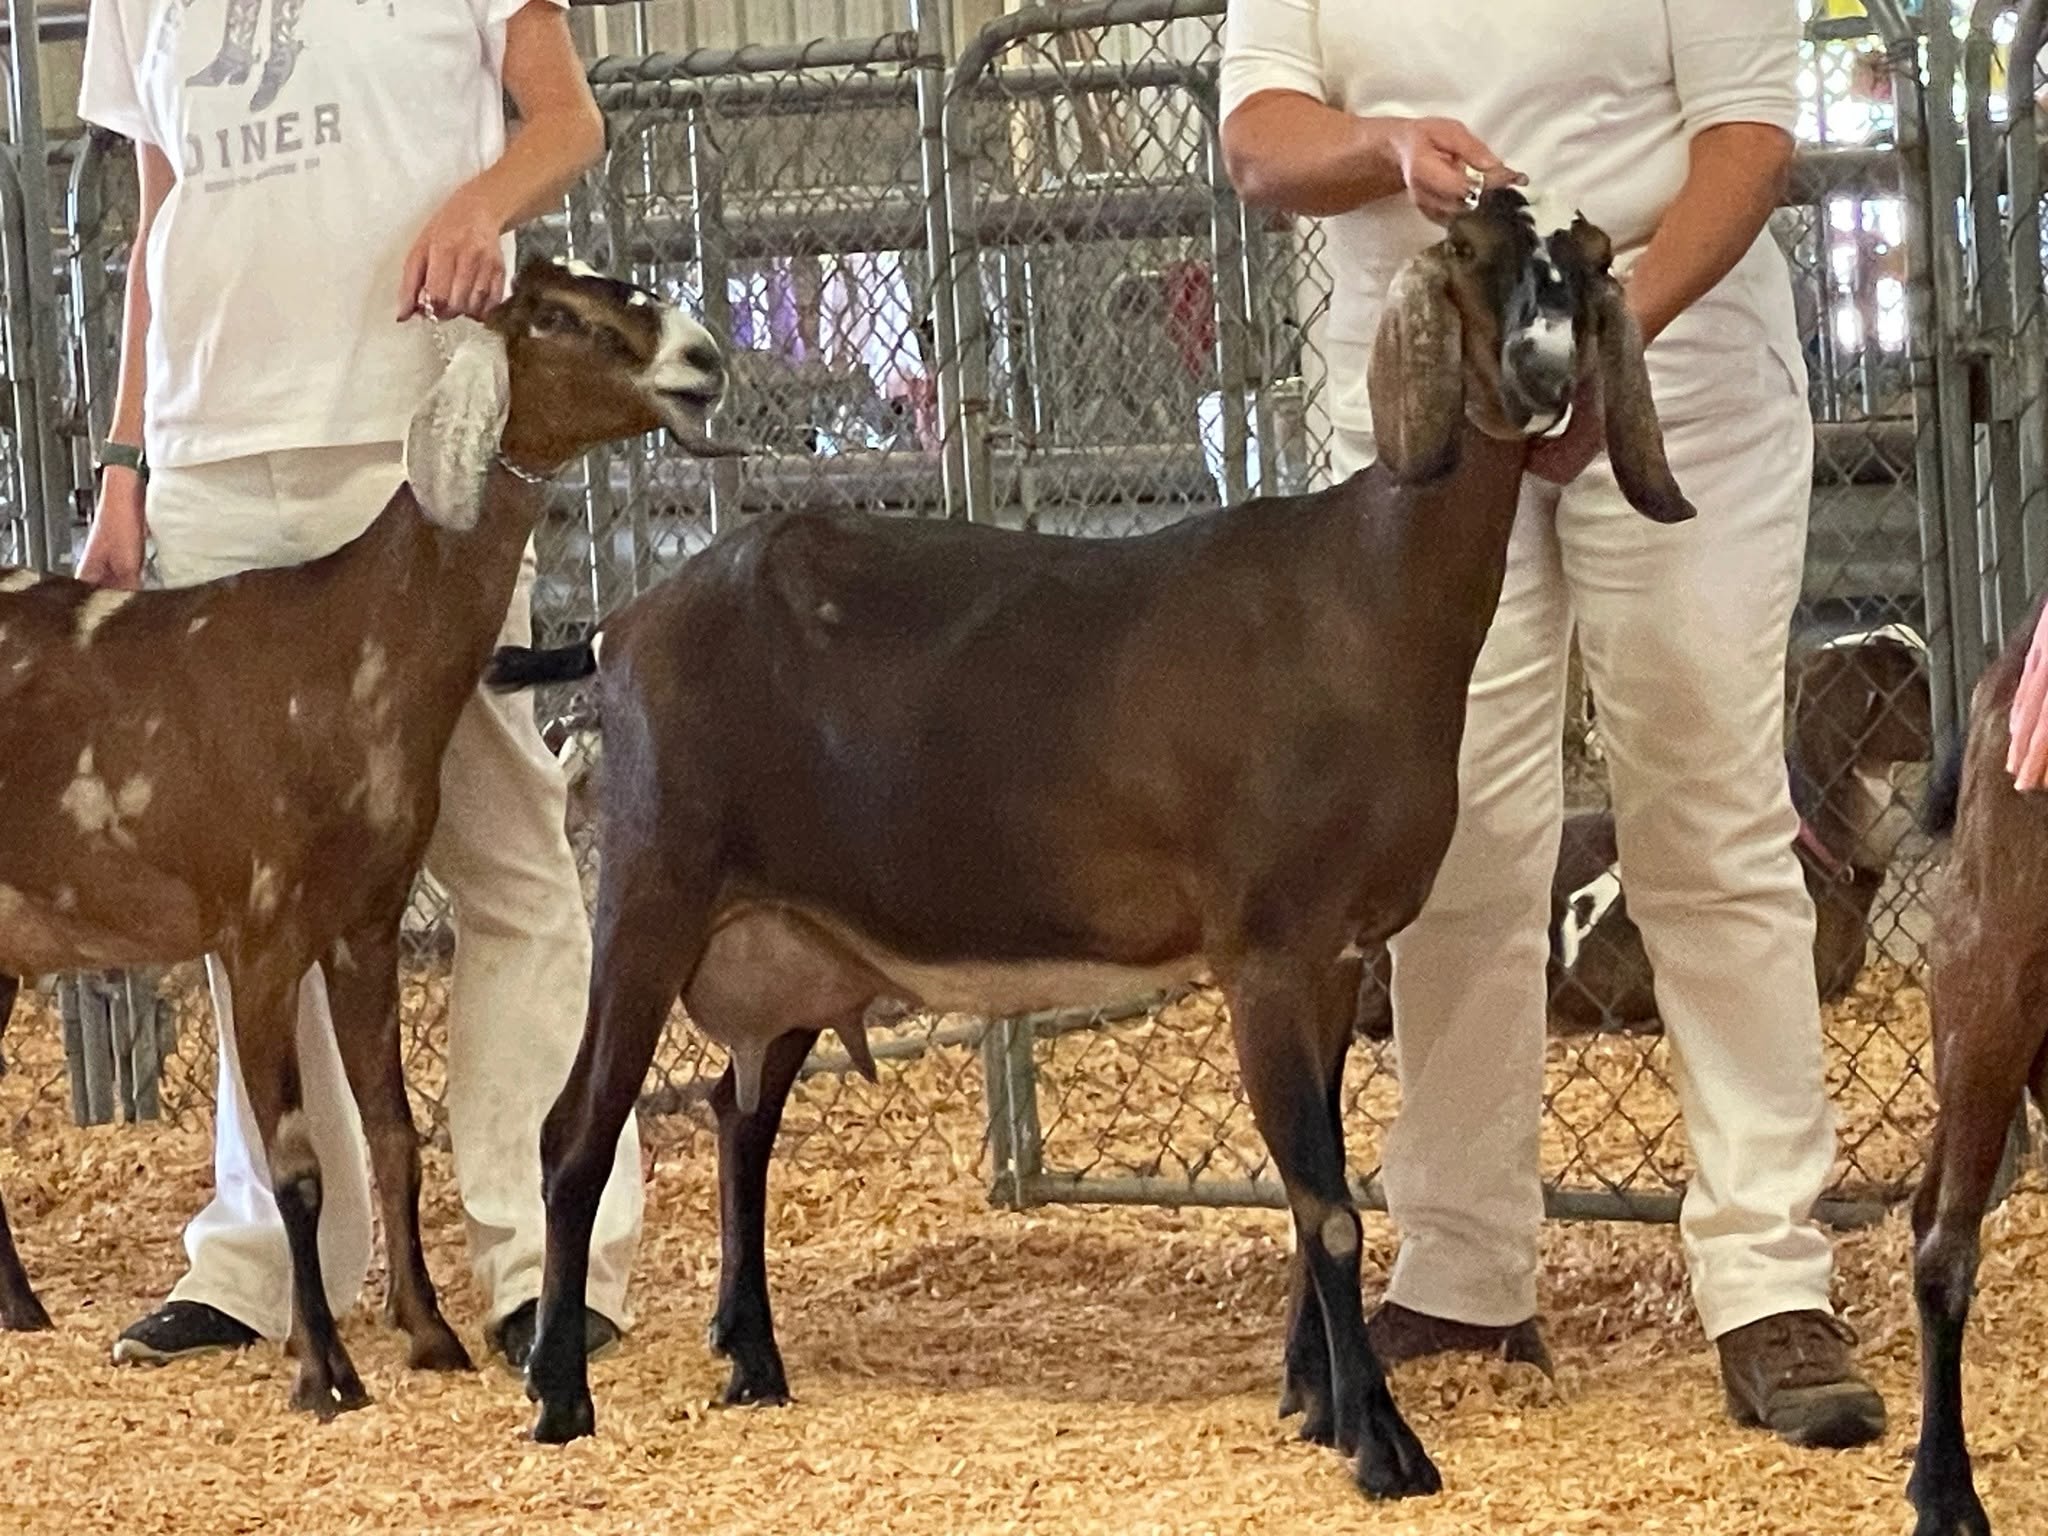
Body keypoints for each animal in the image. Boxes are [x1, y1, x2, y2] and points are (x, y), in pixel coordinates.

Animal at [486, 188, 1696, 1500]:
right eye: (1472, 253)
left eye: (1586, 263)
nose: (1544, 370)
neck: (1361, 596)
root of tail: (617, 628)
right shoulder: (1264, 948)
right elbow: (1324, 1203)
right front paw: (1381, 1443)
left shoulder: (1332, 959)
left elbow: (1311, 1183)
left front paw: (1314, 1403)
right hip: (652, 890)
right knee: (573, 1132)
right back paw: (559, 1395)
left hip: (787, 938)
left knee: (735, 1115)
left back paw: (752, 1361)